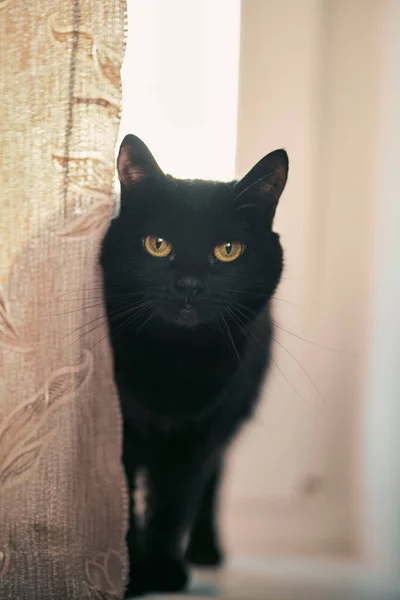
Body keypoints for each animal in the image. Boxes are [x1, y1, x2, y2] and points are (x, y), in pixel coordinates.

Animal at [100, 134, 288, 596]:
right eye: (157, 244)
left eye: (228, 251)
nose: (189, 285)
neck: (175, 362)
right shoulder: (121, 426)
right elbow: (127, 497)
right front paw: (131, 573)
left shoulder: (199, 432)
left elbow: (177, 498)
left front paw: (163, 570)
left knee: (213, 480)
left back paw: (205, 549)